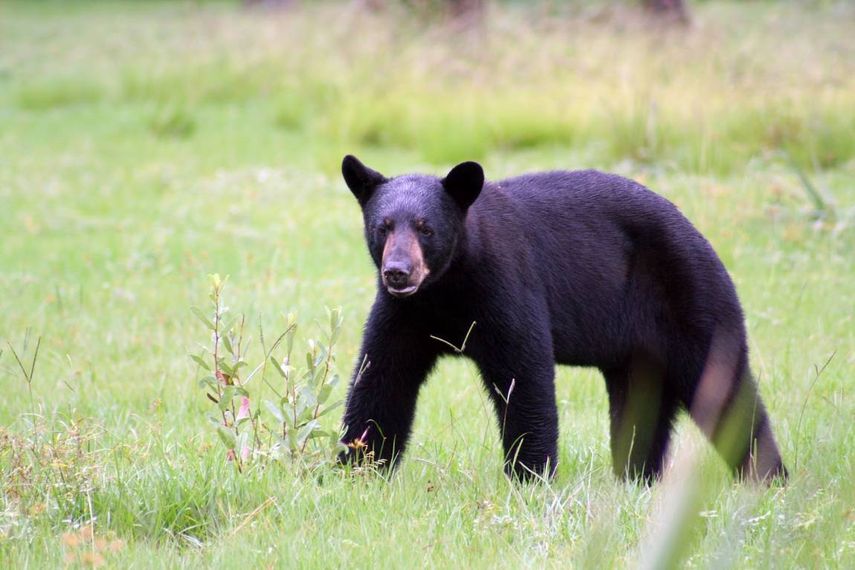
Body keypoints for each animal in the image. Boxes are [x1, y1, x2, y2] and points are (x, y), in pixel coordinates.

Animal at [337, 154, 786, 483]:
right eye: (383, 227)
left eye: (425, 228)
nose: (398, 271)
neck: (447, 288)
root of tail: (702, 238)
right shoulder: (406, 313)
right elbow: (382, 377)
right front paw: (358, 467)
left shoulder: (506, 286)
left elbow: (523, 372)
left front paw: (529, 476)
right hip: (639, 351)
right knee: (639, 405)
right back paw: (636, 477)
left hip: (693, 301)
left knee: (725, 389)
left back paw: (767, 475)